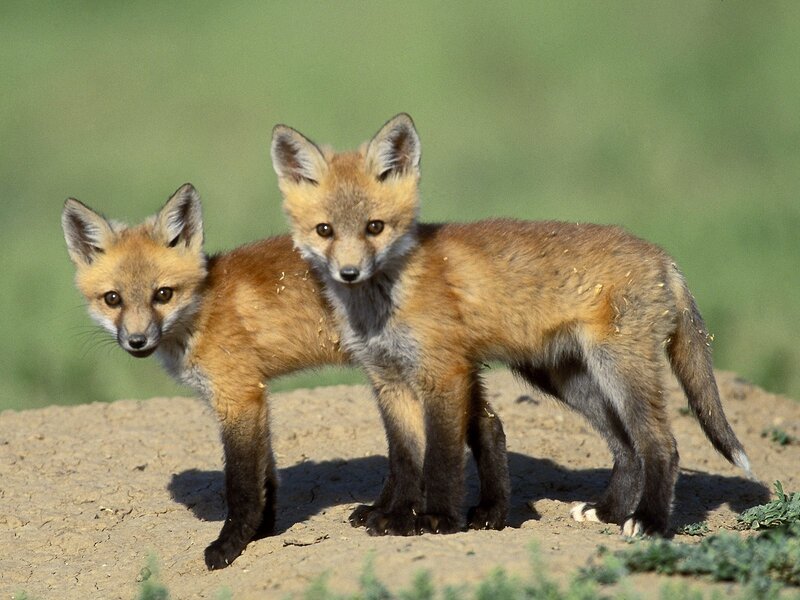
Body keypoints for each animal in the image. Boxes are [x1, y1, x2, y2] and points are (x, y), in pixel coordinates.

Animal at [61, 183, 510, 569]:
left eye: (163, 295)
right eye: (113, 299)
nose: (137, 341)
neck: (203, 311)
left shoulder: (238, 397)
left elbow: (241, 484)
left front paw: (230, 545)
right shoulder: (255, 397)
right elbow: (266, 476)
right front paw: (262, 533)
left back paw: (475, 512)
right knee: (490, 426)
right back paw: (455, 511)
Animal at [271, 113, 753, 538]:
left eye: (375, 227)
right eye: (325, 230)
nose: (349, 273)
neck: (384, 302)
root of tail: (663, 256)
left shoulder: (445, 373)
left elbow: (441, 458)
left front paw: (436, 519)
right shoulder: (387, 380)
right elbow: (404, 459)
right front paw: (391, 514)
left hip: (618, 370)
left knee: (661, 445)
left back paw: (648, 521)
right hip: (567, 379)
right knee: (627, 448)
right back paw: (610, 511)